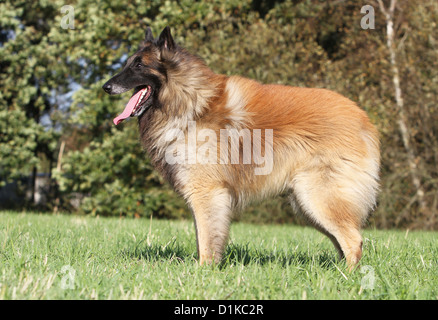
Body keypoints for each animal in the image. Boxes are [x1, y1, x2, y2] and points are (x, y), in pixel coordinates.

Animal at [102, 26, 380, 270]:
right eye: (128, 63)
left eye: (138, 65)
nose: (106, 87)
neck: (190, 102)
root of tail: (364, 120)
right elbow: (205, 237)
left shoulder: (206, 191)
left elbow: (206, 238)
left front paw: (203, 272)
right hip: (307, 201)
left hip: (317, 196)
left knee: (354, 240)